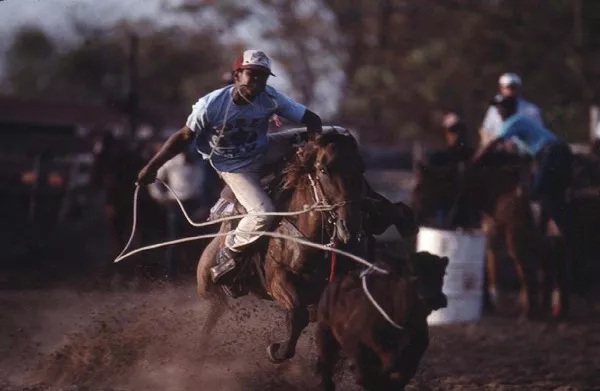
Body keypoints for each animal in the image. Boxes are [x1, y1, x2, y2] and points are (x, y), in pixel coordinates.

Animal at [197, 132, 366, 364]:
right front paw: (277, 350)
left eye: (359, 167)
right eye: (323, 170)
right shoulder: (278, 278)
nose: (349, 224)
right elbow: (297, 315)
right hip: (210, 291)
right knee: (210, 318)